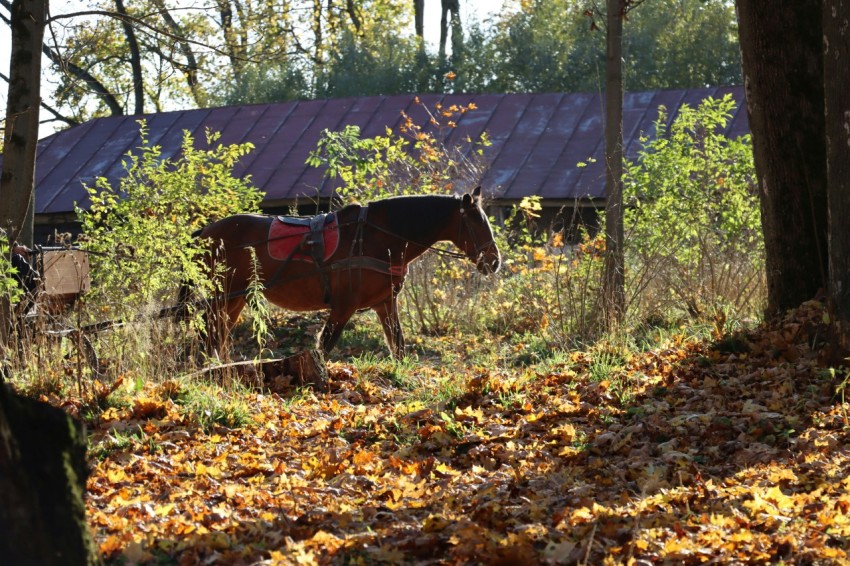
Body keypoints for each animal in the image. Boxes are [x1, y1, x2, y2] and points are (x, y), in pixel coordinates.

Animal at [186, 189, 496, 362]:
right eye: (476, 221)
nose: (494, 261)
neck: (377, 237)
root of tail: (205, 232)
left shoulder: (385, 304)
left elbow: (398, 345)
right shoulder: (344, 306)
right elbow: (324, 347)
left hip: (233, 298)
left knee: (217, 334)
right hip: (222, 295)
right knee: (209, 334)